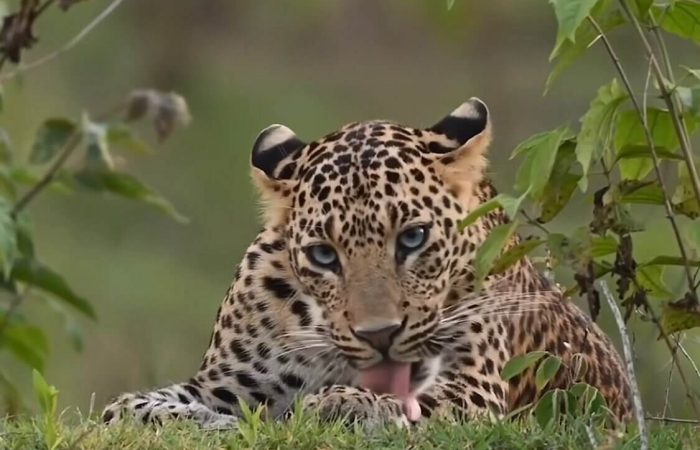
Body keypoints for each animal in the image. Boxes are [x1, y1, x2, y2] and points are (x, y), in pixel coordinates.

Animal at [101, 98, 633, 429]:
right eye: (323, 254)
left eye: (414, 238)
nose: (379, 335)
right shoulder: (227, 384)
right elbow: (126, 408)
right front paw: (196, 420)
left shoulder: (474, 386)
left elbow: (411, 400)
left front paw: (340, 404)